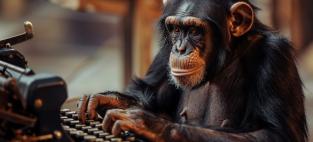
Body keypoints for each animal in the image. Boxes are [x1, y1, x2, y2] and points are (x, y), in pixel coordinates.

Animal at [77, 0, 306, 141]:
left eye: (195, 30)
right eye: (176, 29)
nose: (179, 49)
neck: (224, 59)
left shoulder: (275, 57)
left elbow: (272, 133)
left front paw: (149, 125)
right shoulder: (166, 50)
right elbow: (151, 95)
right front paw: (106, 100)